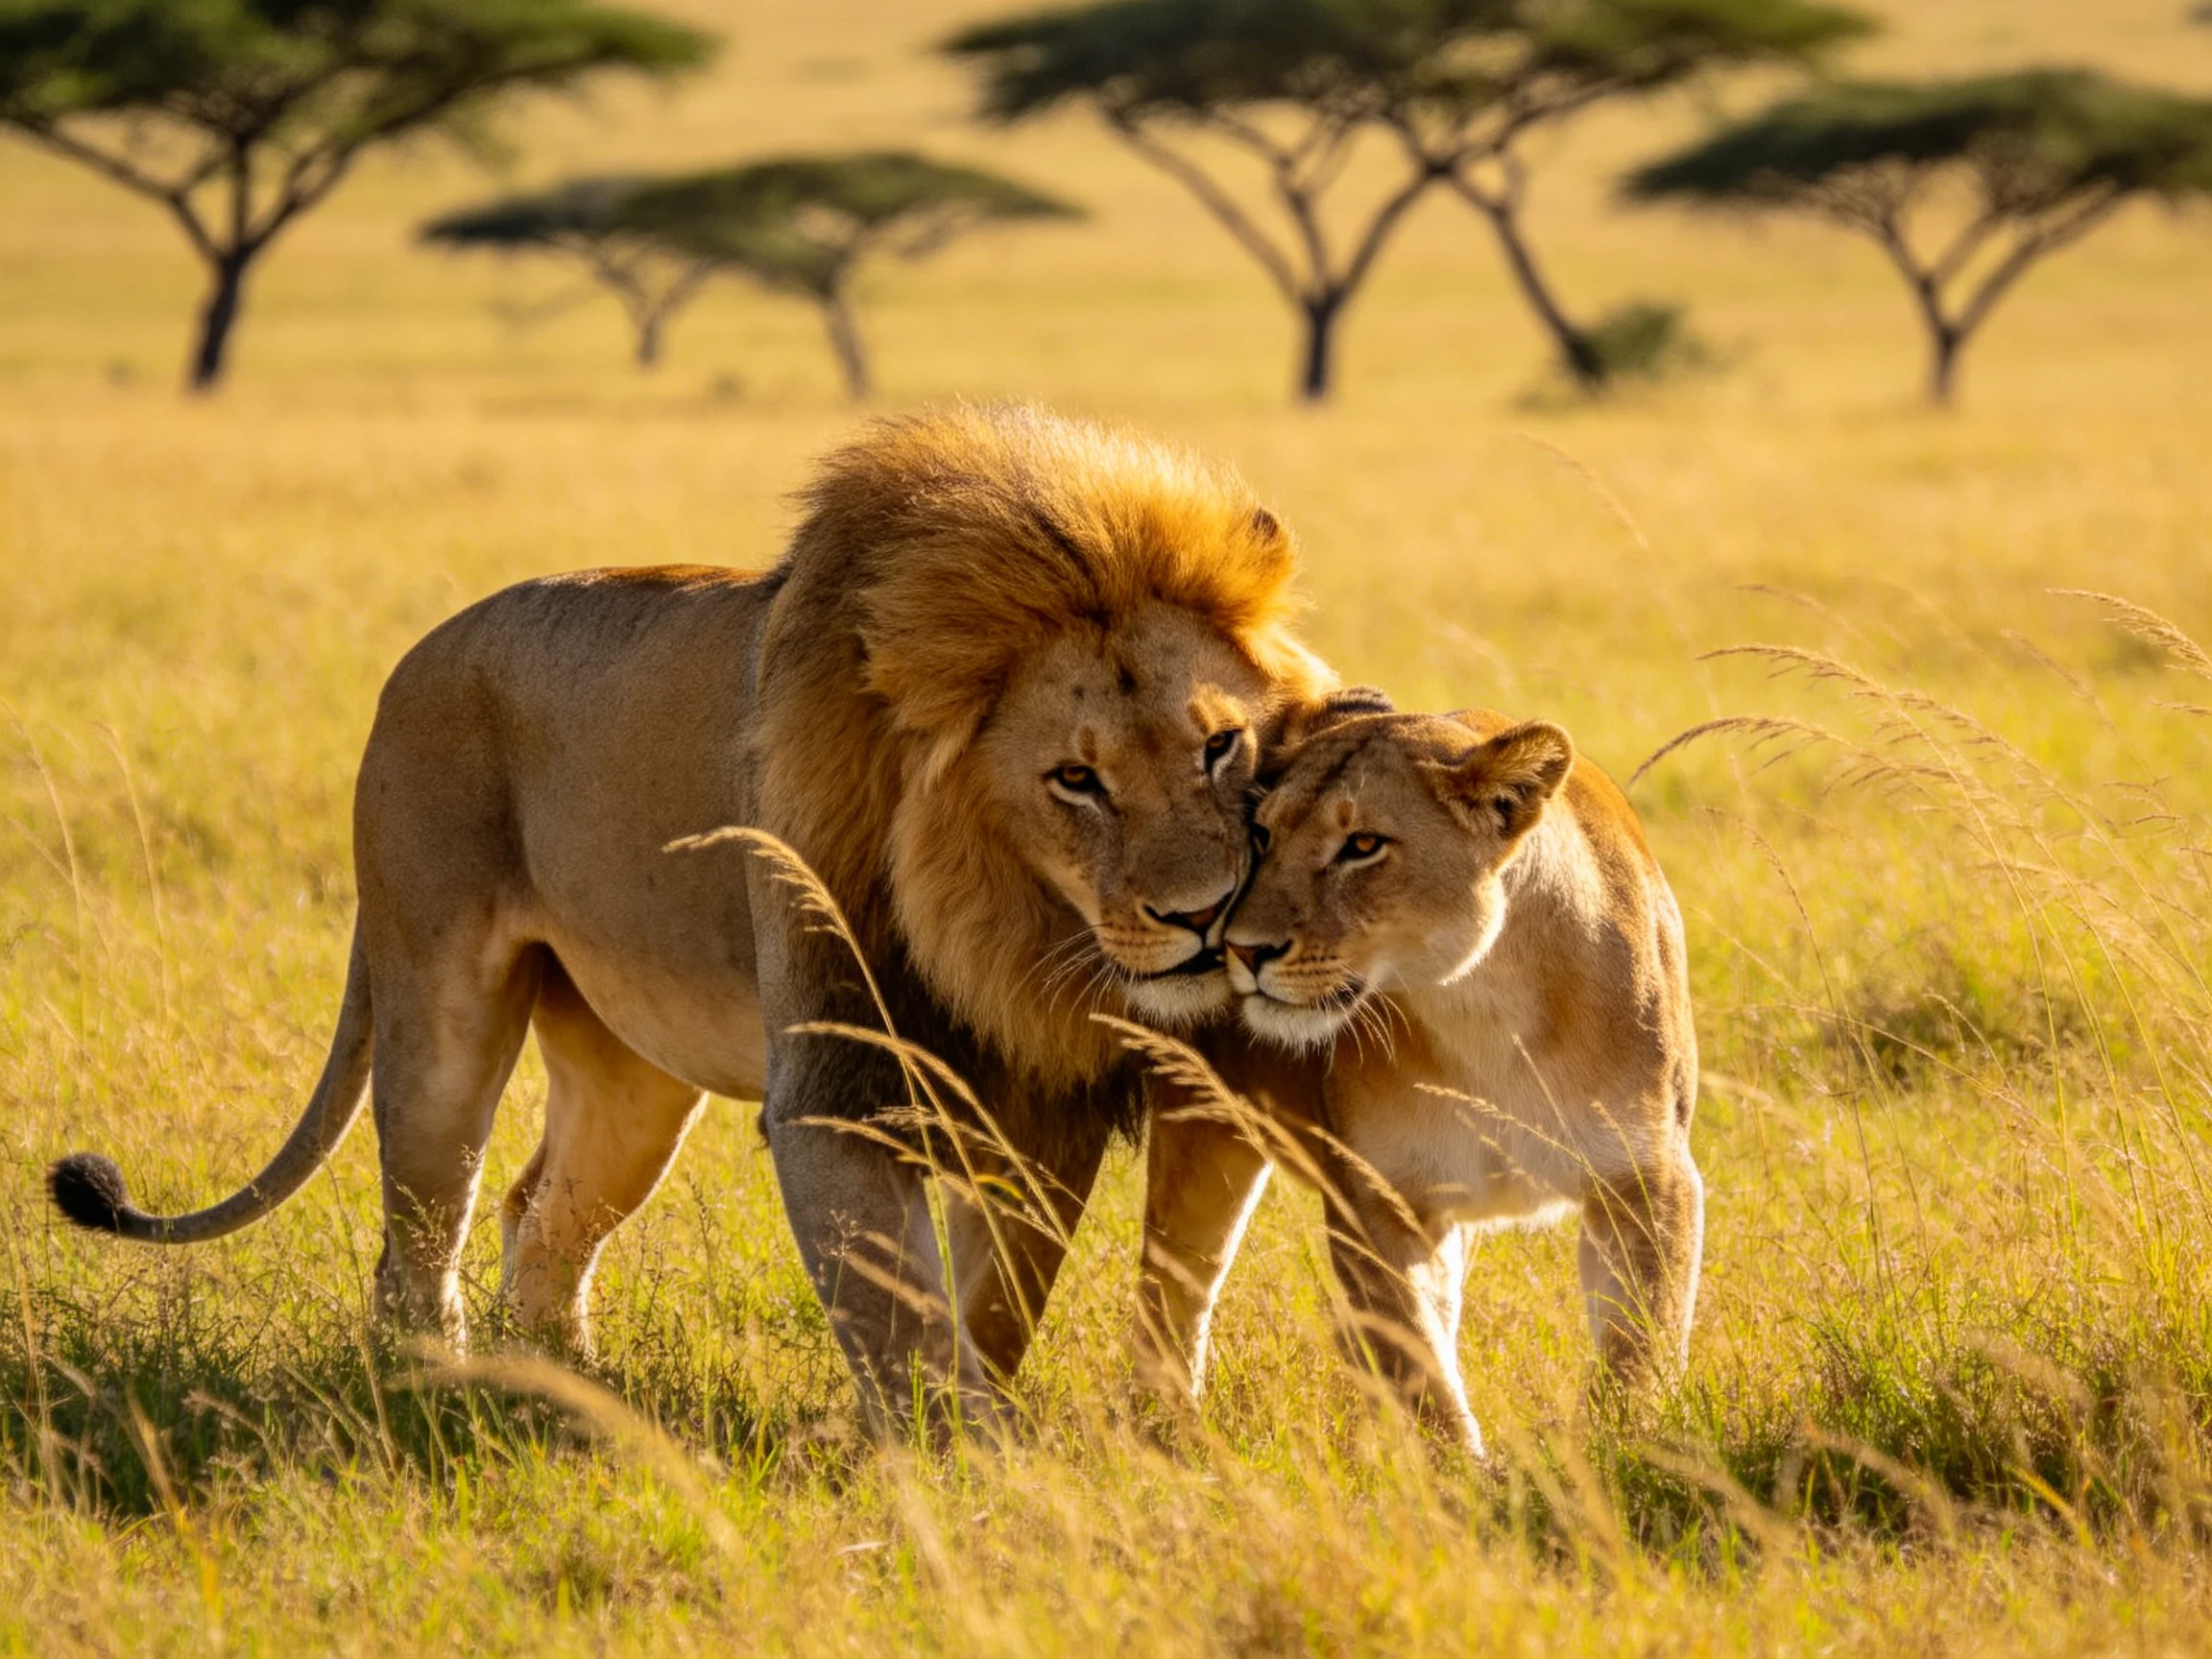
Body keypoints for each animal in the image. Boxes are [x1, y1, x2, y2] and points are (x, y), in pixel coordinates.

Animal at [48, 403, 1330, 1434]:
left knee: (543, 1217)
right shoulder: (836, 1091)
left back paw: (568, 1390)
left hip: (631, 1079)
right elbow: (908, 1325)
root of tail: (419, 653)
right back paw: (438, 1390)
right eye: (1076, 780)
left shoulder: (1038, 1102)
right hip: (437, 1009)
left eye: (1220, 746)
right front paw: (955, 1465)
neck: (1008, 930)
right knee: (421, 1233)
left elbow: (993, 1308)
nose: (1205, 918)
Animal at [1132, 696, 1702, 1455]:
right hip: (1202, 1136)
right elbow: (1419, 1361)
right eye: (1262, 834)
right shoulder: (1378, 1197)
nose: (1241, 950)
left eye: (1363, 845)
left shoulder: (1647, 1179)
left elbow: (1641, 1344)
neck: (1482, 1007)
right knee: (1173, 1291)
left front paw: (1623, 1452)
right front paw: (1461, 1472)